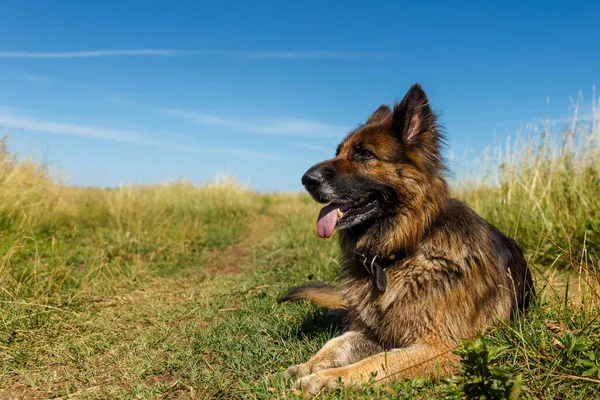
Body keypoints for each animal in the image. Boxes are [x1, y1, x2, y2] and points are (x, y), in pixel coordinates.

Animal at [280, 83, 536, 394]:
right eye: (338, 152)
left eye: (365, 154)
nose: (306, 179)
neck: (401, 251)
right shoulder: (374, 329)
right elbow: (337, 343)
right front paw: (307, 366)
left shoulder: (440, 348)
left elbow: (378, 362)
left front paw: (327, 378)